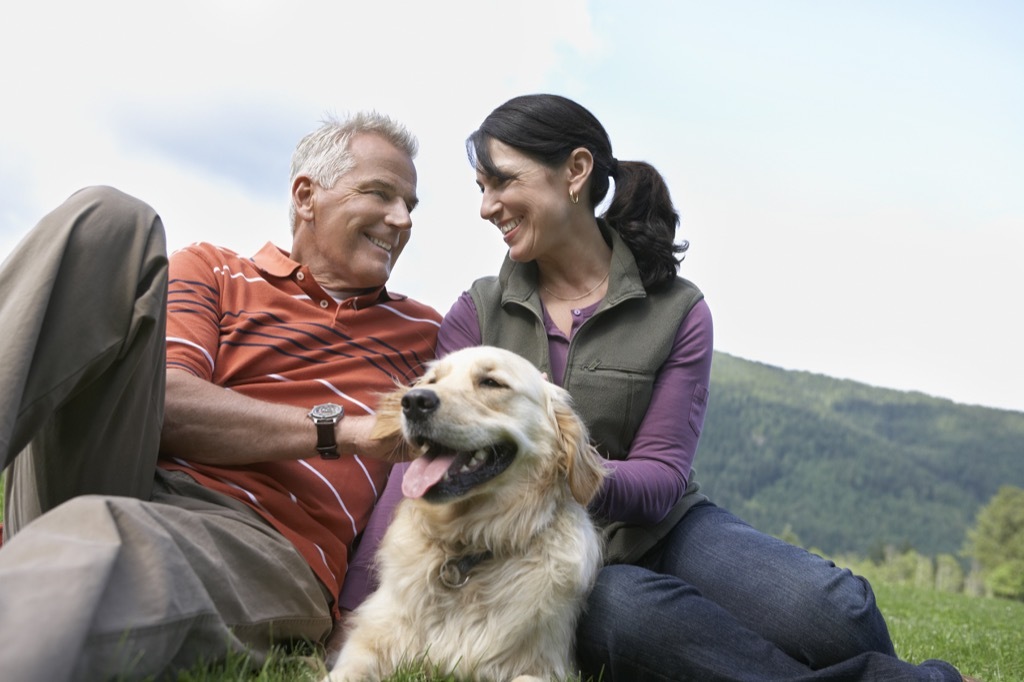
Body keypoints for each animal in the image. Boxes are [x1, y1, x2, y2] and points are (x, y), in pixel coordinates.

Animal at [323, 346, 602, 679]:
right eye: (431, 380)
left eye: (491, 383)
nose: (414, 401)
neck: (466, 549)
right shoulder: (373, 636)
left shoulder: (549, 665)